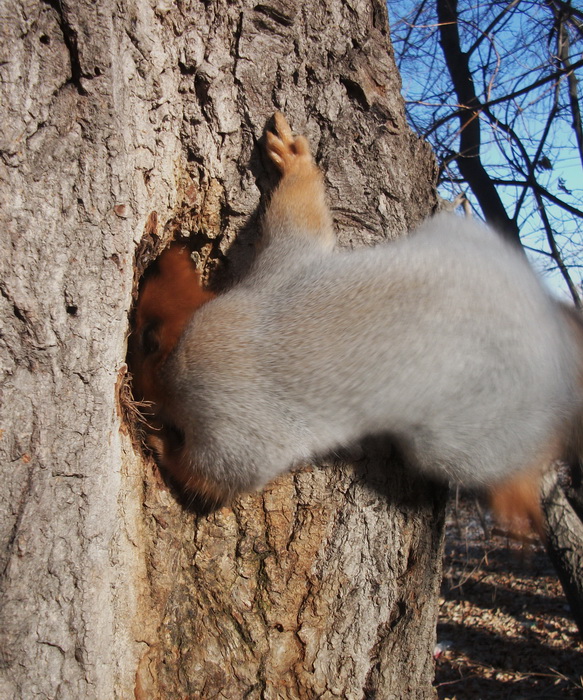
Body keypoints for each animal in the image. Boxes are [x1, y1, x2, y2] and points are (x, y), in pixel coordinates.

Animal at [131, 113, 583, 532]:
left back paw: (519, 494)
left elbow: (223, 475)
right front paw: (293, 159)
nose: (161, 260)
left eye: (147, 338)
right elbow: (299, 220)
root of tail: (547, 333)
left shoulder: (230, 415)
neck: (192, 329)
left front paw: (162, 446)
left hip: (464, 437)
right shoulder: (280, 272)